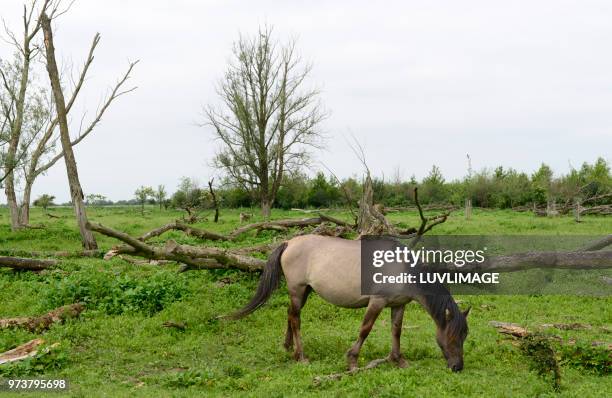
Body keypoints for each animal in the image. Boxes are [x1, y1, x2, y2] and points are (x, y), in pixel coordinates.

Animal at [227, 235, 470, 372]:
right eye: (452, 337)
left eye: (464, 336)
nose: (457, 367)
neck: (402, 268)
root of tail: (289, 243)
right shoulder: (377, 302)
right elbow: (365, 329)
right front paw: (352, 361)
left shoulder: (398, 305)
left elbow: (396, 331)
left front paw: (398, 360)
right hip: (297, 290)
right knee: (296, 319)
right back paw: (301, 356)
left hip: (304, 291)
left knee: (289, 314)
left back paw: (288, 347)